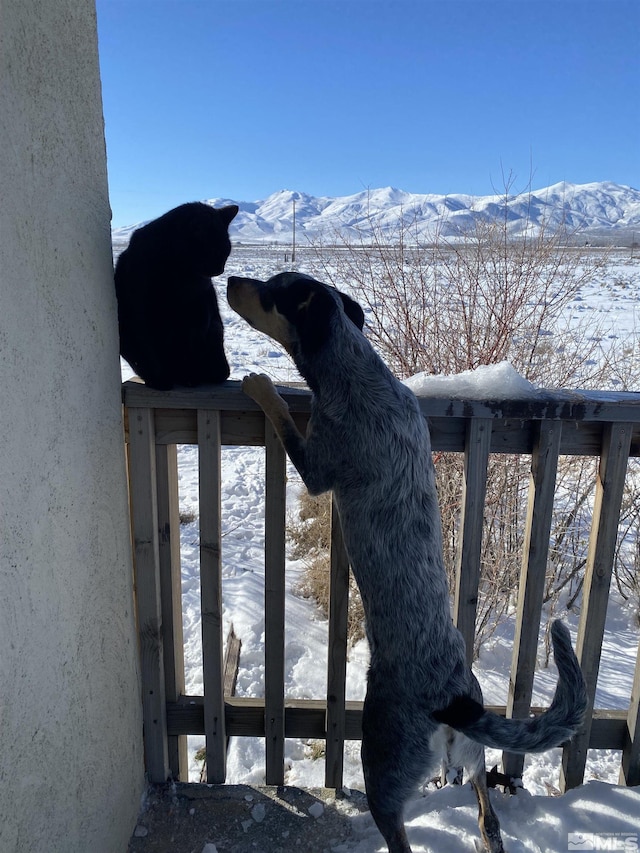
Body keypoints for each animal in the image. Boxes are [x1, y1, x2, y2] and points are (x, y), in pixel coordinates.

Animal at [114, 201, 239, 388]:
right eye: (215, 251)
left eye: (227, 251)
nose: (220, 270)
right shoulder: (138, 311)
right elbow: (147, 348)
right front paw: (159, 381)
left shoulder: (198, 310)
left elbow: (190, 344)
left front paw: (189, 378)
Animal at [228, 272, 588, 852]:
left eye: (272, 289)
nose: (231, 280)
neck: (357, 373)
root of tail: (451, 700)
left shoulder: (316, 464)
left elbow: (281, 414)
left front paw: (261, 384)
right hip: (471, 755)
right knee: (487, 816)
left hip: (384, 766)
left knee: (399, 832)